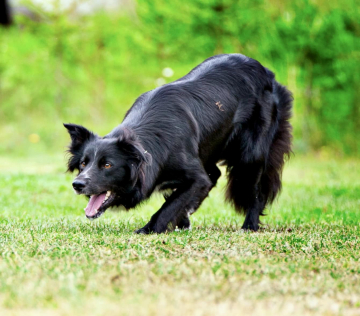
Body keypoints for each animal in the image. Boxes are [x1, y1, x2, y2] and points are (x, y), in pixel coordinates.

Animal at [64, 53, 292, 232]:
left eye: (107, 165)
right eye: (83, 164)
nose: (77, 184)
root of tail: (268, 73)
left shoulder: (195, 176)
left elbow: (171, 205)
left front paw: (149, 229)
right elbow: (177, 197)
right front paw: (182, 219)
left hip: (250, 154)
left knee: (255, 190)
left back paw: (249, 226)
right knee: (215, 174)